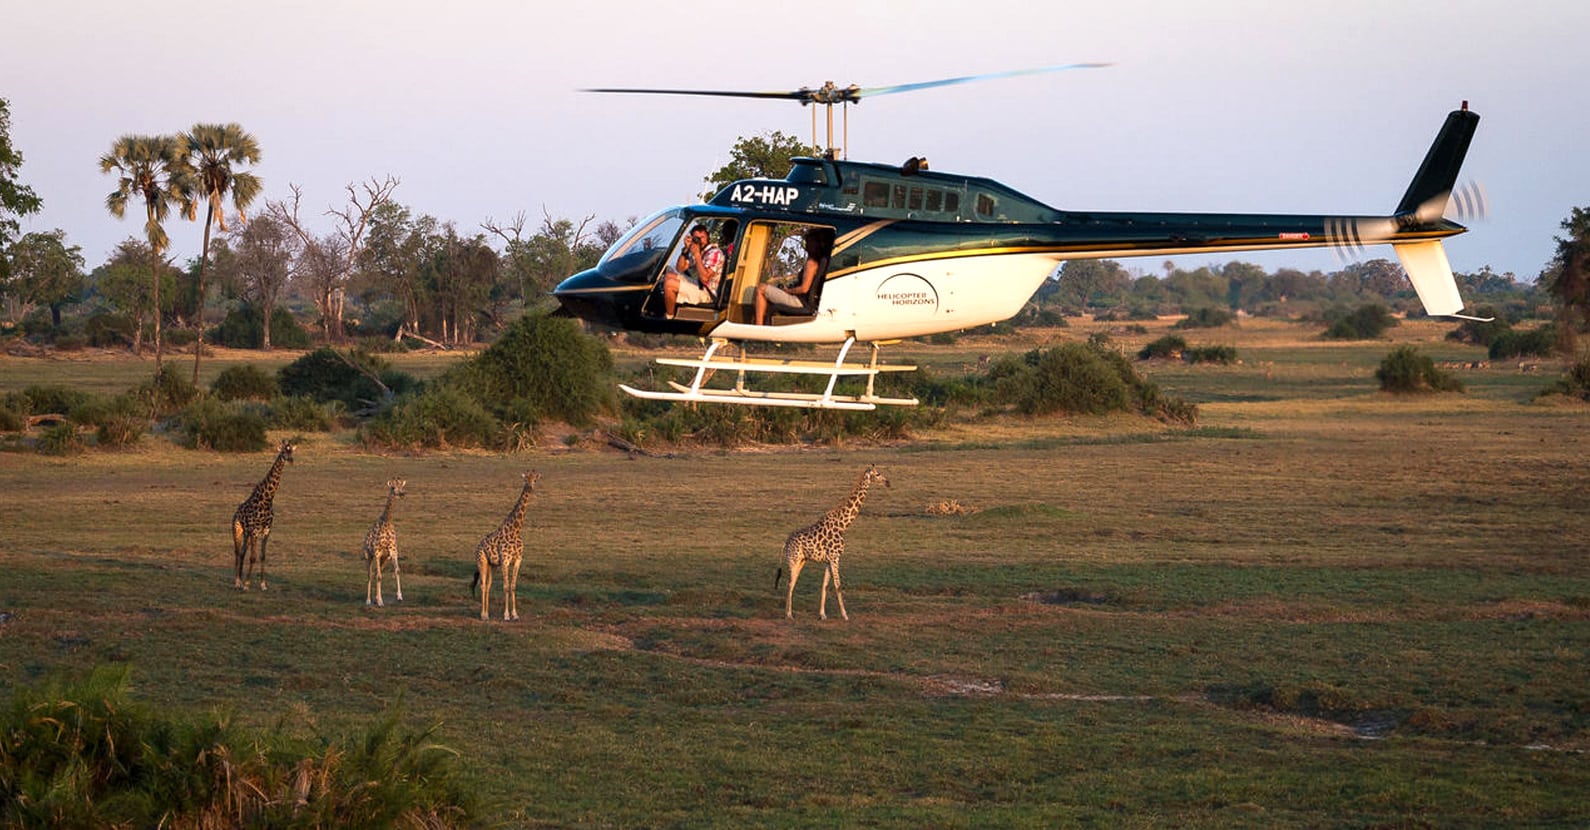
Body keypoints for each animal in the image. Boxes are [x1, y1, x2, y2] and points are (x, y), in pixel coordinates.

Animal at [231, 440, 295, 591]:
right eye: (283, 451)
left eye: (291, 450)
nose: (291, 460)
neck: (266, 500)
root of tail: (236, 512)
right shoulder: (255, 531)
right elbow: (253, 557)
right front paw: (247, 584)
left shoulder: (266, 531)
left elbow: (262, 556)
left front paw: (263, 584)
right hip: (237, 530)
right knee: (237, 552)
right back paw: (237, 582)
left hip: (247, 534)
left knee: (242, 553)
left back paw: (240, 580)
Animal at [362, 478, 406, 607]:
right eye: (392, 487)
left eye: (402, 487)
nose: (402, 494)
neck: (387, 521)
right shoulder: (377, 553)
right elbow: (378, 576)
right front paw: (380, 601)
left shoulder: (393, 552)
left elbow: (397, 571)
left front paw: (399, 596)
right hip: (368, 556)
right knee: (370, 574)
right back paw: (368, 600)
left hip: (384, 559)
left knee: (378, 572)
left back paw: (375, 598)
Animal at [470, 471, 539, 621]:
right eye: (525, 479)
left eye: (535, 480)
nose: (530, 487)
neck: (516, 529)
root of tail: (477, 546)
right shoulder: (505, 561)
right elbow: (506, 587)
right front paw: (506, 615)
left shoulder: (517, 560)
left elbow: (513, 586)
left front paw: (515, 614)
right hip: (482, 562)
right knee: (482, 585)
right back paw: (483, 615)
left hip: (492, 565)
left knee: (488, 585)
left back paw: (487, 614)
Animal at [774, 463, 889, 620]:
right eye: (877, 474)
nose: (887, 482)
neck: (843, 525)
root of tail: (784, 544)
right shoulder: (835, 558)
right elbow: (838, 586)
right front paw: (845, 615)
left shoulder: (829, 560)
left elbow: (825, 585)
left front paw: (822, 614)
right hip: (794, 560)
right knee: (790, 583)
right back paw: (788, 614)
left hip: (801, 561)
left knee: (792, 583)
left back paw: (789, 613)